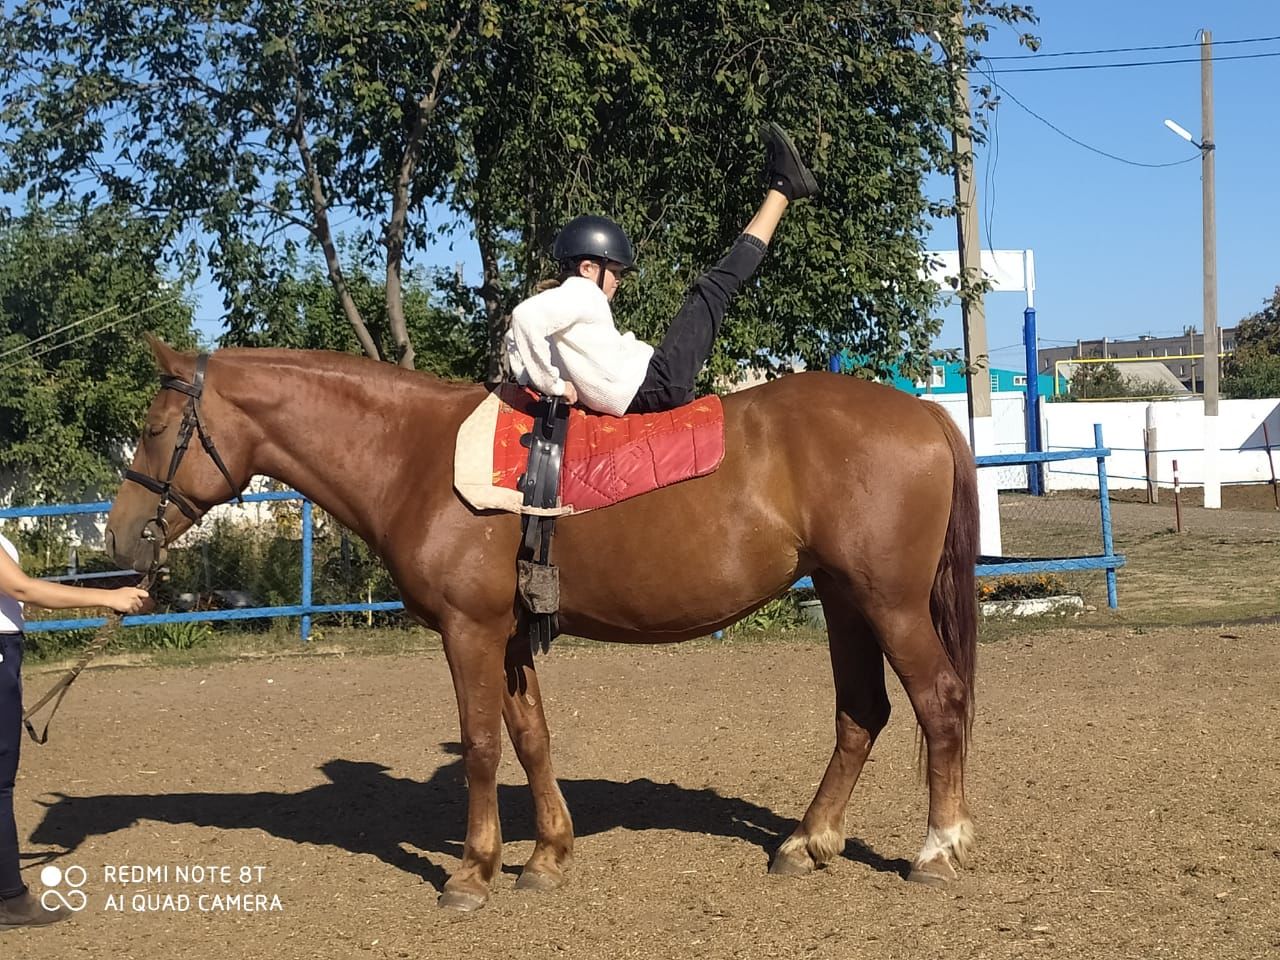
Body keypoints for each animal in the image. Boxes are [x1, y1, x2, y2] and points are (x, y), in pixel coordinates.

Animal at [104, 343, 977, 911]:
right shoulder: (511, 636)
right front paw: (548, 855)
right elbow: (532, 737)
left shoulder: (469, 631)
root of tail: (925, 412)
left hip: (889, 602)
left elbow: (482, 746)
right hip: (843, 598)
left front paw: (472, 872)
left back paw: (937, 849)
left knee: (938, 701)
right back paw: (806, 842)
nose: (117, 539)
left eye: (152, 429)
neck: (416, 456)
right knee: (861, 713)